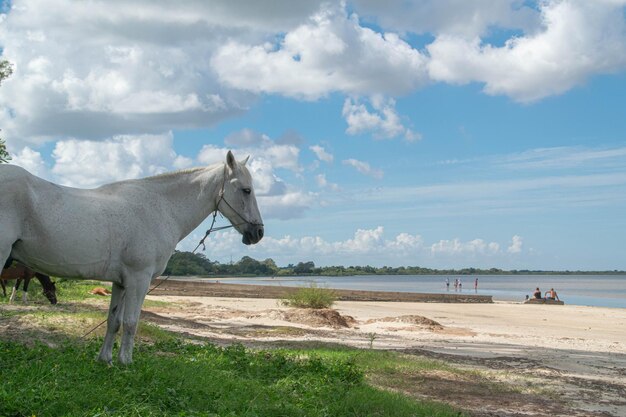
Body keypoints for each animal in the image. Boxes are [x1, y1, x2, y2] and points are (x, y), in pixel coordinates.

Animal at [0, 151, 260, 362]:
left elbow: (114, 321)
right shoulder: (139, 278)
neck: (160, 208)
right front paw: (126, 362)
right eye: (246, 190)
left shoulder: (121, 282)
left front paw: (105, 360)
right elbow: (131, 322)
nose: (258, 232)